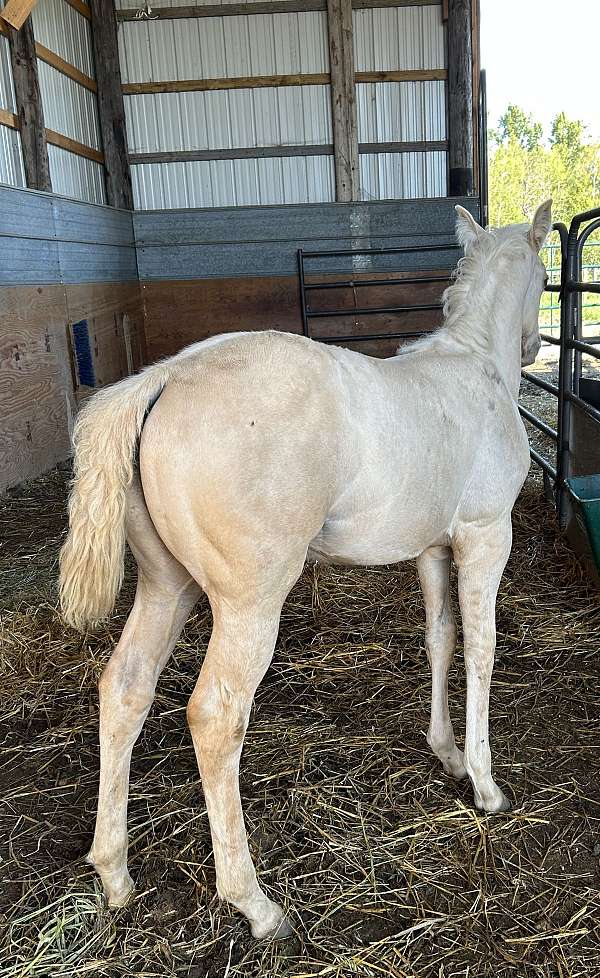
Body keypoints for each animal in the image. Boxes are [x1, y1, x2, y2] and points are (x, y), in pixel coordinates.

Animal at [59, 200, 552, 940]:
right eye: (547, 277)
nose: (532, 347)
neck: (474, 370)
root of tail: (164, 377)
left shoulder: (433, 548)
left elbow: (440, 639)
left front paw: (446, 752)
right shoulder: (486, 536)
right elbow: (482, 651)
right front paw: (486, 784)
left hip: (167, 586)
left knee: (125, 688)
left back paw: (114, 872)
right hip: (249, 603)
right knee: (215, 716)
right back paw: (254, 903)